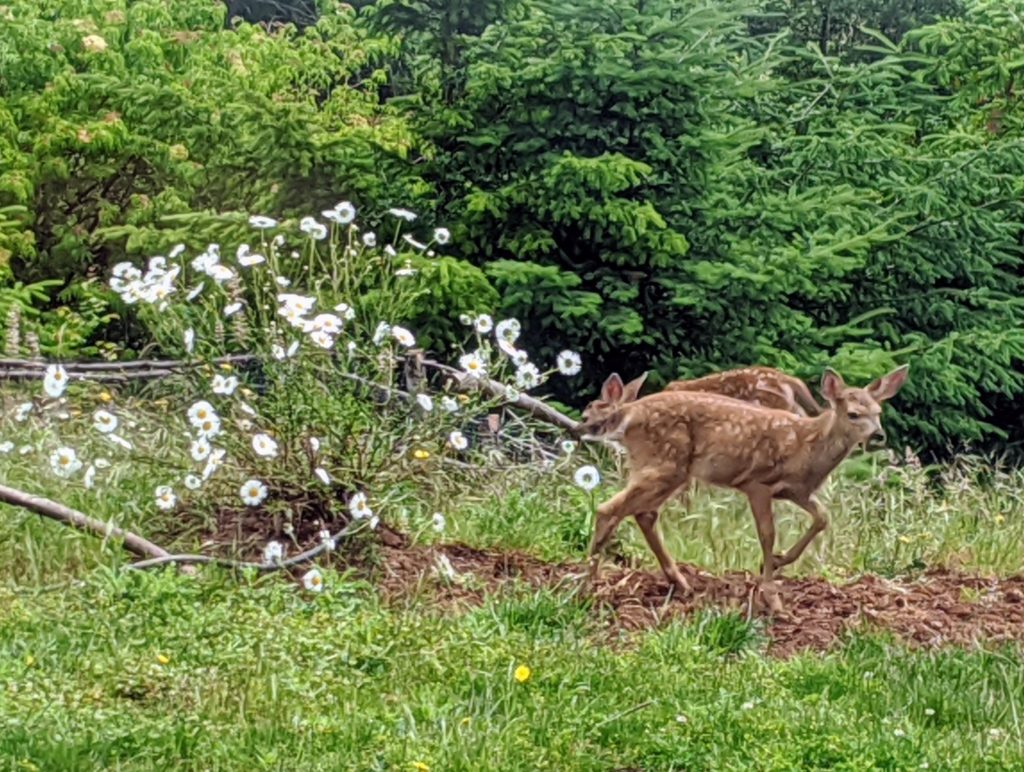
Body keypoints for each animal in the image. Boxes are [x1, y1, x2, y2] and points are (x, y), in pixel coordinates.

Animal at [581, 364, 909, 610]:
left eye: (878, 412)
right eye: (854, 413)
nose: (878, 435)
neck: (807, 446)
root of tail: (627, 414)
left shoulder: (797, 491)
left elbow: (822, 518)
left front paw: (779, 562)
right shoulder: (757, 483)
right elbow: (767, 535)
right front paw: (772, 596)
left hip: (670, 470)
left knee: (642, 513)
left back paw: (680, 583)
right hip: (664, 463)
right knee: (609, 509)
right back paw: (588, 584)